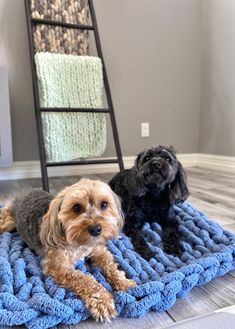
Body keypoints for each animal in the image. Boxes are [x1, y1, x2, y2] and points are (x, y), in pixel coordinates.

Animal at [0, 179, 136, 320]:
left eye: (104, 204)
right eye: (76, 208)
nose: (95, 229)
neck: (81, 244)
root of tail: (22, 194)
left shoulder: (99, 251)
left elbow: (110, 265)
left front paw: (123, 282)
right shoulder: (57, 266)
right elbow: (84, 279)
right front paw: (102, 299)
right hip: (7, 223)